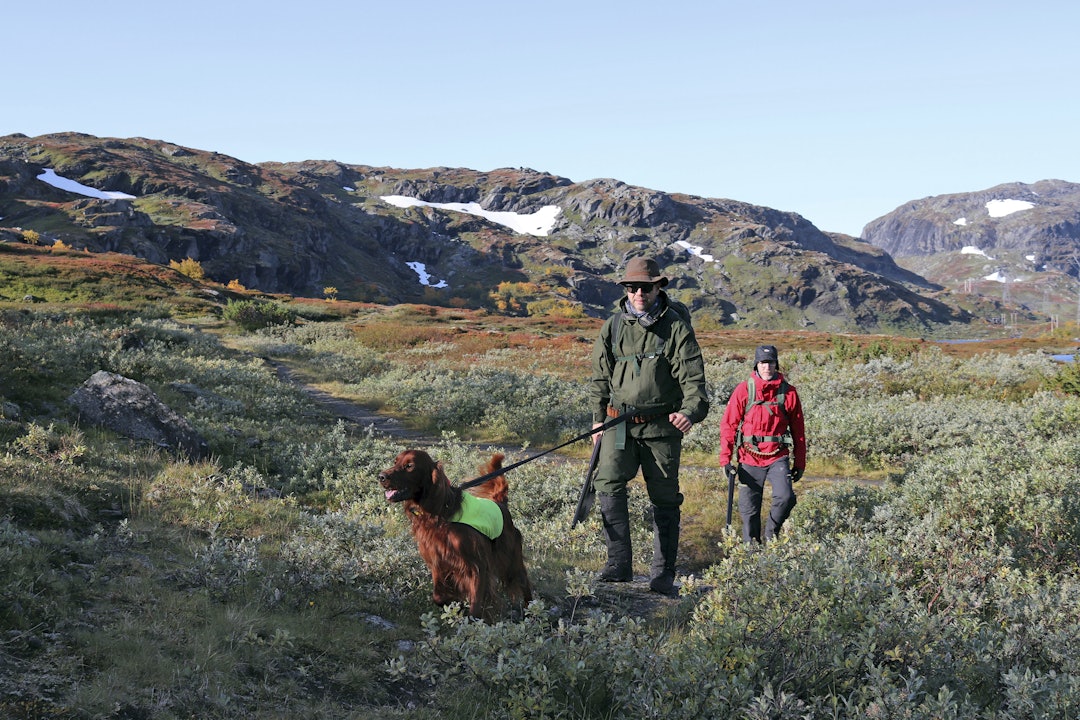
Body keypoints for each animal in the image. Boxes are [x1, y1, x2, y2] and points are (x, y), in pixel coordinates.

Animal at [378, 451, 533, 621]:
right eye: (395, 462)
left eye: (409, 466)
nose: (381, 476)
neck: (440, 513)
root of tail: (501, 504)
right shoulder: (438, 563)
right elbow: (439, 597)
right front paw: (456, 605)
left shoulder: (477, 566)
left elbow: (475, 606)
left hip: (510, 562)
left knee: (525, 584)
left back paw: (532, 613)